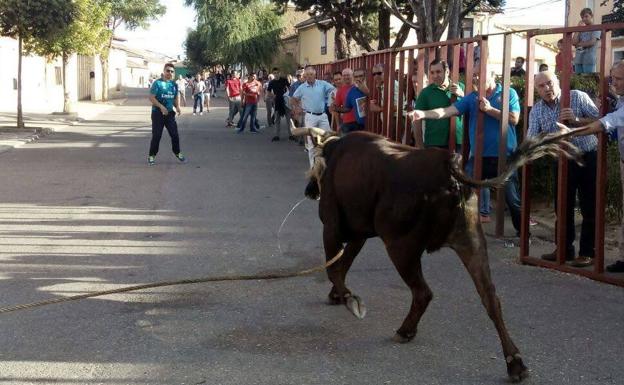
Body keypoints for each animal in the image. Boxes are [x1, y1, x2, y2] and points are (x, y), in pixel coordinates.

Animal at [292, 121, 580, 380]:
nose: (309, 191)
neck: (334, 155)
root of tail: (447, 165)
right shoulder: (359, 234)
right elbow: (342, 265)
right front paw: (338, 295)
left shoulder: (332, 227)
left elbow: (333, 268)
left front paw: (349, 299)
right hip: (471, 242)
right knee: (490, 299)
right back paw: (515, 363)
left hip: (401, 247)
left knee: (423, 292)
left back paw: (405, 330)